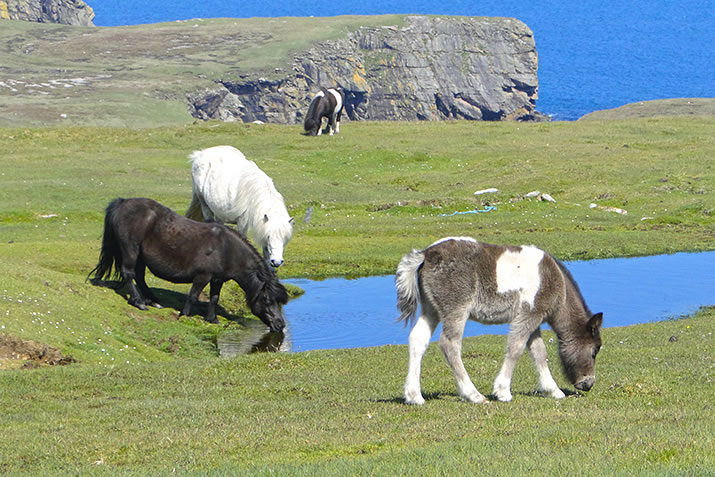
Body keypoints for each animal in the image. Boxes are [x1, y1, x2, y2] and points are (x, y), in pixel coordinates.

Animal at [88, 197, 288, 332]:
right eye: (268, 301)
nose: (280, 325)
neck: (226, 249)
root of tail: (123, 203)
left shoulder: (217, 279)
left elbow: (214, 298)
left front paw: (212, 319)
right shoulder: (203, 276)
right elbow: (193, 295)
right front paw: (184, 315)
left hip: (141, 257)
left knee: (139, 277)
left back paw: (152, 300)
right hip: (131, 250)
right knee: (128, 274)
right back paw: (139, 302)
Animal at [396, 237, 603, 405]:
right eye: (594, 351)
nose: (588, 384)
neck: (556, 282)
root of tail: (426, 254)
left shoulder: (531, 318)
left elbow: (538, 351)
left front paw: (553, 390)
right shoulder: (530, 314)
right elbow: (516, 347)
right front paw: (503, 391)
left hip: (431, 309)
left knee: (418, 339)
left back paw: (414, 396)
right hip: (456, 309)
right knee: (450, 344)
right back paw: (473, 395)